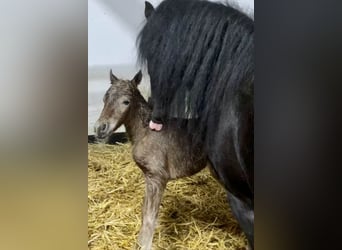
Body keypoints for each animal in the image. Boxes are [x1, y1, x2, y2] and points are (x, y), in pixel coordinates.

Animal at [94, 71, 206, 250]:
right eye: (105, 98)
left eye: (126, 102)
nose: (100, 128)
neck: (147, 131)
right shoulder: (148, 177)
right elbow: (144, 211)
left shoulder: (158, 178)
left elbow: (149, 218)